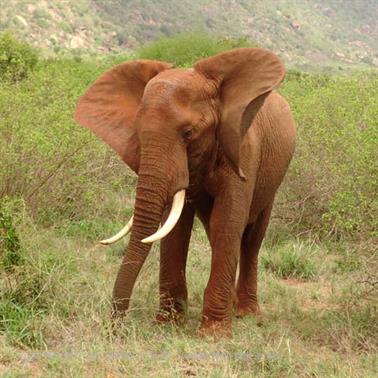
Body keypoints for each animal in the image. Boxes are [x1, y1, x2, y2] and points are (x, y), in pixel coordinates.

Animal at [75, 46, 296, 336]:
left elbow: (228, 221)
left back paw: (246, 312)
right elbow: (177, 227)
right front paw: (167, 325)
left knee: (251, 238)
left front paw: (214, 335)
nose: (115, 327)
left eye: (188, 133)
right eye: (138, 133)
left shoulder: (244, 149)